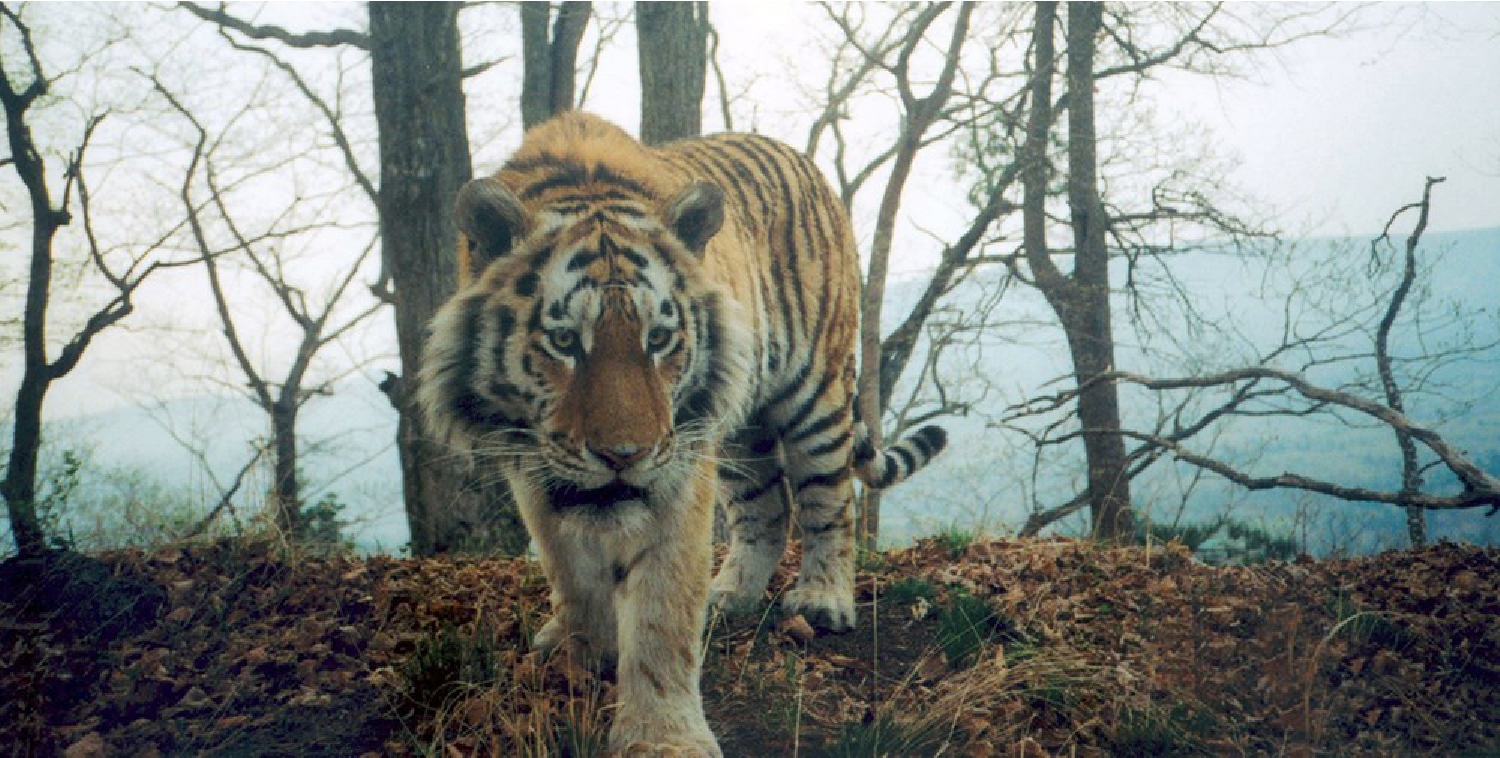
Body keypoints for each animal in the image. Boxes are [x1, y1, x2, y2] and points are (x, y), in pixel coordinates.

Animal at [417, 112, 945, 757]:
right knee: (768, 508)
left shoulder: (679, 468)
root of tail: (802, 159)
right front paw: (579, 649)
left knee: (829, 503)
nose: (624, 456)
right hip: (741, 427)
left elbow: (662, 612)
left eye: (659, 339)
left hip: (813, 393)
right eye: (564, 341)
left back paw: (822, 601)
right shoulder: (533, 465)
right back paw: (732, 594)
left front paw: (663, 738)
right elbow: (567, 565)